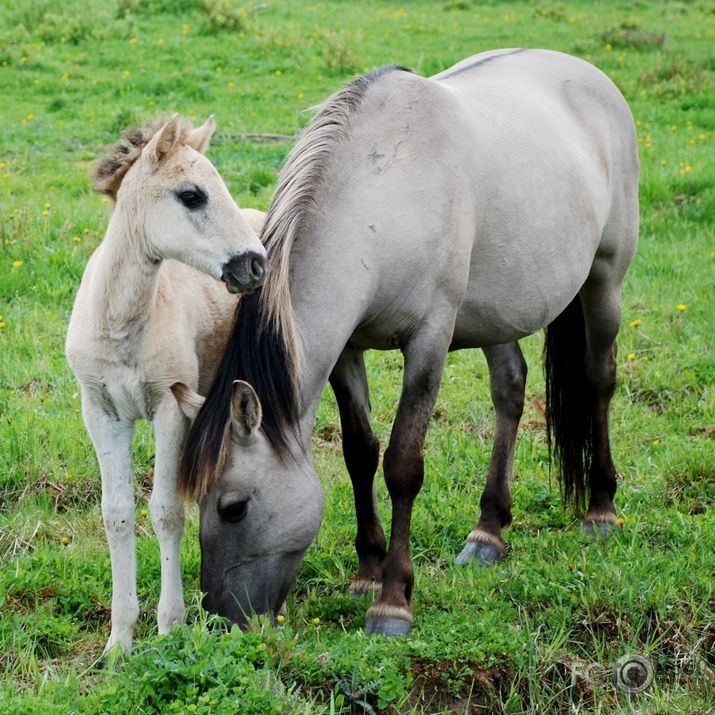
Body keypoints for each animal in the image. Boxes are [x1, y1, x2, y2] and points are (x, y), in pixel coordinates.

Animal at [65, 114, 268, 656]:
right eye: (192, 195)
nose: (255, 265)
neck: (121, 322)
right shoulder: (101, 413)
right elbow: (116, 515)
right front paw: (119, 642)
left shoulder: (169, 409)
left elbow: (166, 512)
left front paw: (170, 624)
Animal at [176, 47, 640, 636]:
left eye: (233, 507)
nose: (220, 618)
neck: (383, 195)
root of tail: (592, 75)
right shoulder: (347, 351)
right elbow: (359, 452)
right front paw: (366, 572)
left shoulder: (429, 342)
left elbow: (402, 463)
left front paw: (392, 599)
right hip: (497, 312)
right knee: (510, 391)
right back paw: (489, 531)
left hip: (605, 282)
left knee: (599, 381)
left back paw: (601, 508)